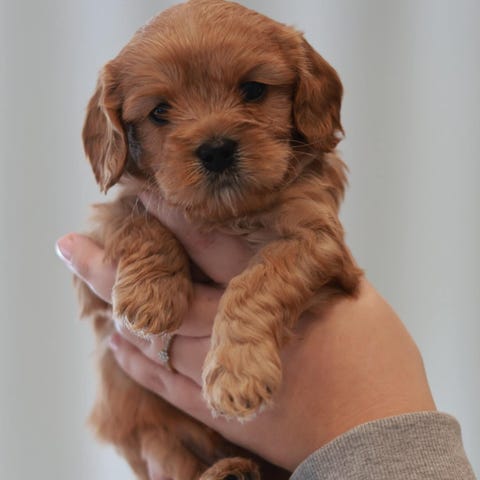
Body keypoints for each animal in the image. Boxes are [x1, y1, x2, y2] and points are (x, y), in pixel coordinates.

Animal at [78, 0, 362, 478]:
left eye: (253, 90)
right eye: (159, 112)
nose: (216, 149)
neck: (227, 214)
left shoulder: (317, 237)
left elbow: (256, 283)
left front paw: (237, 373)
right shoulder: (97, 245)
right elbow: (134, 219)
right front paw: (149, 298)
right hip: (156, 435)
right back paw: (227, 470)